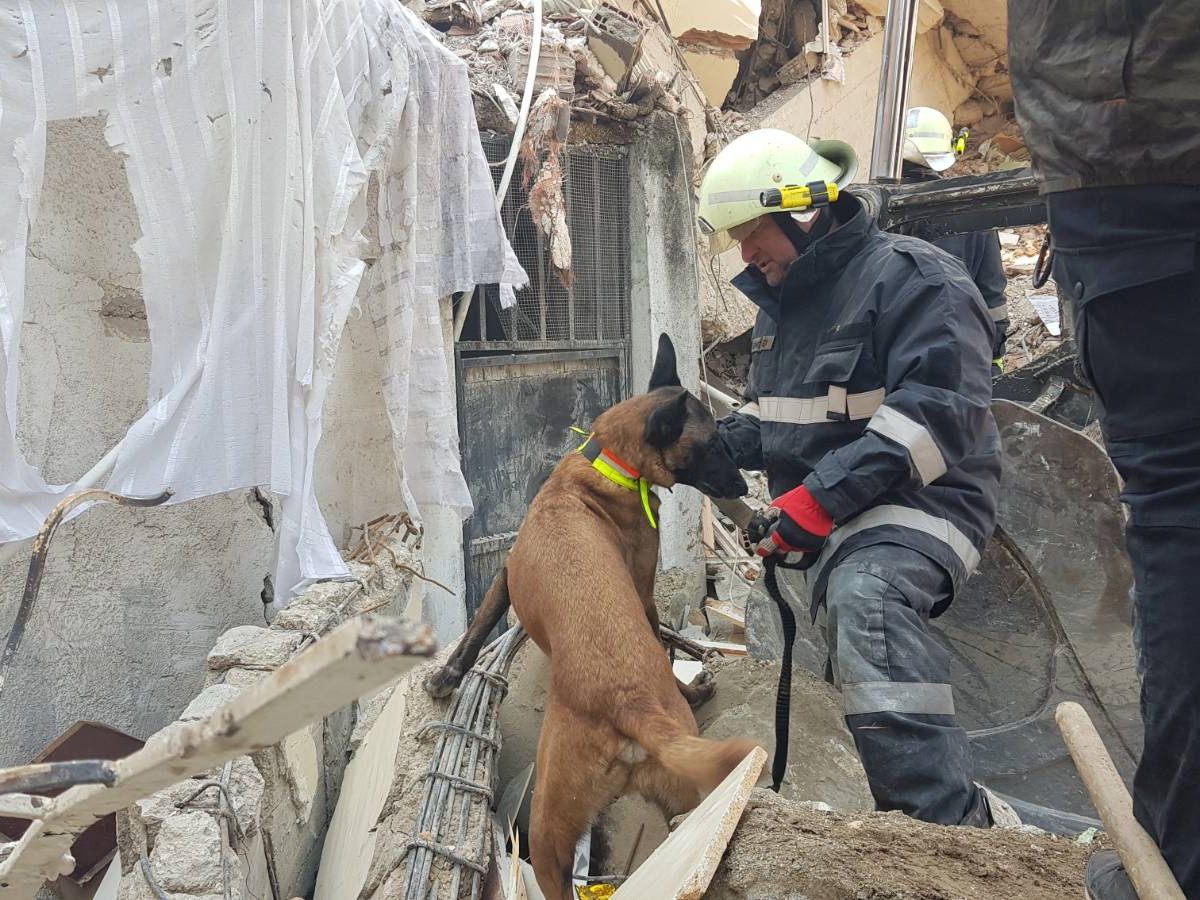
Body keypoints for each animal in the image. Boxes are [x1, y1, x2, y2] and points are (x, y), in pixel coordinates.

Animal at [424, 336, 758, 897]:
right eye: (711, 445)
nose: (744, 487)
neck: (606, 467)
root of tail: (629, 707)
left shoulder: (509, 574)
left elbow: (478, 625)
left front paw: (448, 674)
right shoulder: (636, 589)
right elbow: (661, 636)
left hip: (556, 826)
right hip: (644, 805)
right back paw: (692, 694)